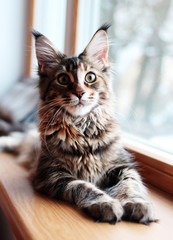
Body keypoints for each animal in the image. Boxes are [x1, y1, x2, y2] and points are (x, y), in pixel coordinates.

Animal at [5, 23, 156, 224]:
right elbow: (83, 186)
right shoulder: (51, 174)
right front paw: (105, 203)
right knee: (15, 138)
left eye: (90, 77)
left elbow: (130, 185)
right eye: (63, 79)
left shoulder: (123, 166)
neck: (83, 130)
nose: (79, 93)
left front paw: (137, 203)